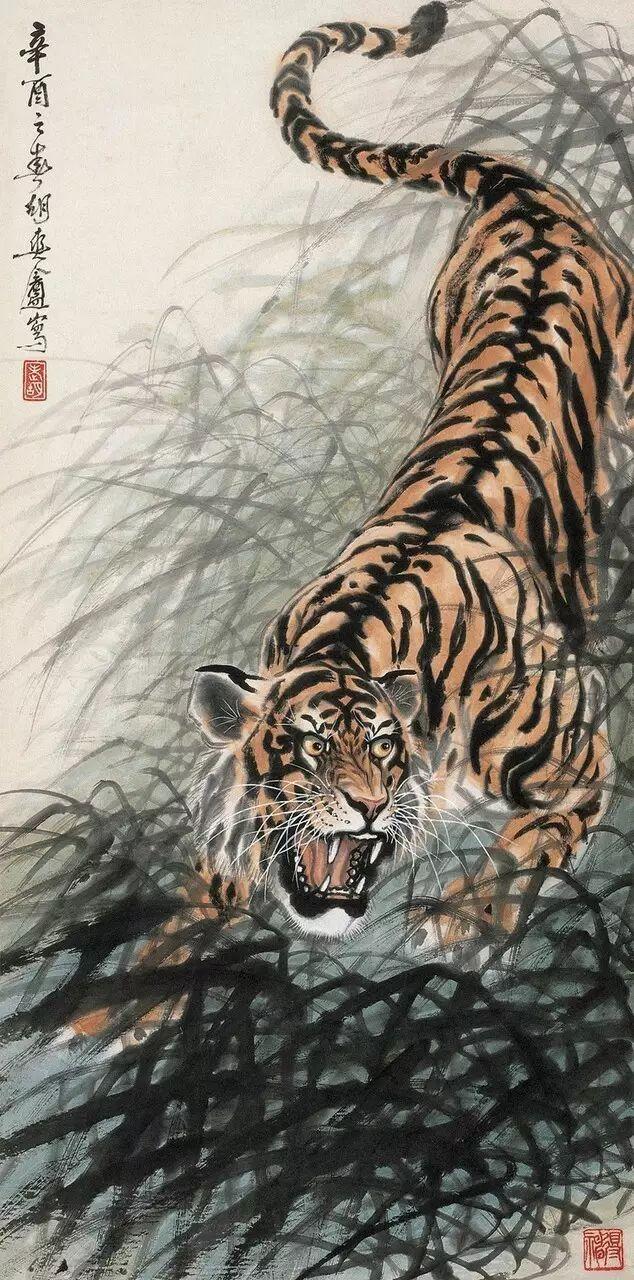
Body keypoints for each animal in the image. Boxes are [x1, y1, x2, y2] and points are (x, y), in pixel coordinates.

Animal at [73, 1, 632, 1040]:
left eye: (380, 752)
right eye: (302, 752)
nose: (365, 810)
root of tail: (524, 195)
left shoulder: (584, 755)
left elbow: (531, 842)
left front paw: (463, 922)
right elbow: (207, 886)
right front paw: (124, 996)